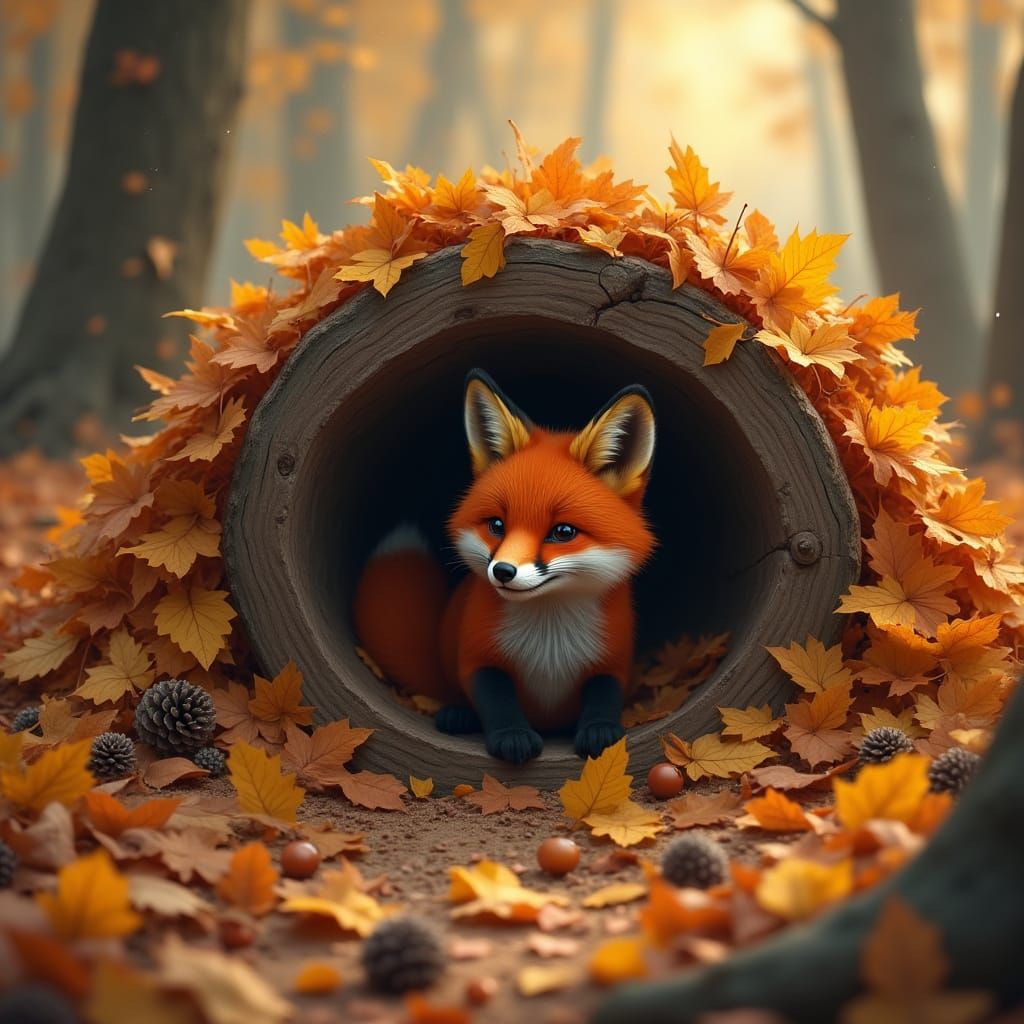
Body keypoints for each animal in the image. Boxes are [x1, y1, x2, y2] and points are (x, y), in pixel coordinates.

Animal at [353, 369, 657, 764]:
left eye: (563, 532)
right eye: (497, 525)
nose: (503, 571)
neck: (549, 642)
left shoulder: (613, 661)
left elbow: (603, 695)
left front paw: (599, 731)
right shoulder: (477, 655)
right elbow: (496, 699)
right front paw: (512, 737)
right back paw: (458, 714)